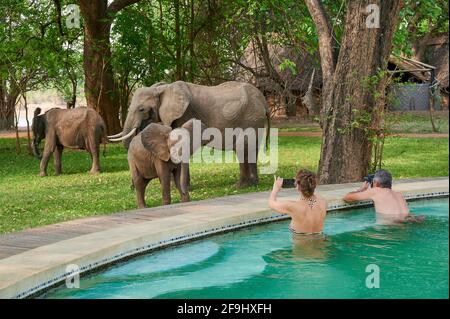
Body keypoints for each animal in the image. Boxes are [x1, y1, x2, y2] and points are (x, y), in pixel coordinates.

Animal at [108, 81, 270, 189]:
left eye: (141, 109)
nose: (131, 187)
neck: (163, 89)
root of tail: (264, 101)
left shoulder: (184, 114)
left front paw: (181, 187)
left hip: (250, 118)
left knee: (242, 147)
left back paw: (240, 186)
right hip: (255, 119)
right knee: (251, 149)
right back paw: (253, 183)